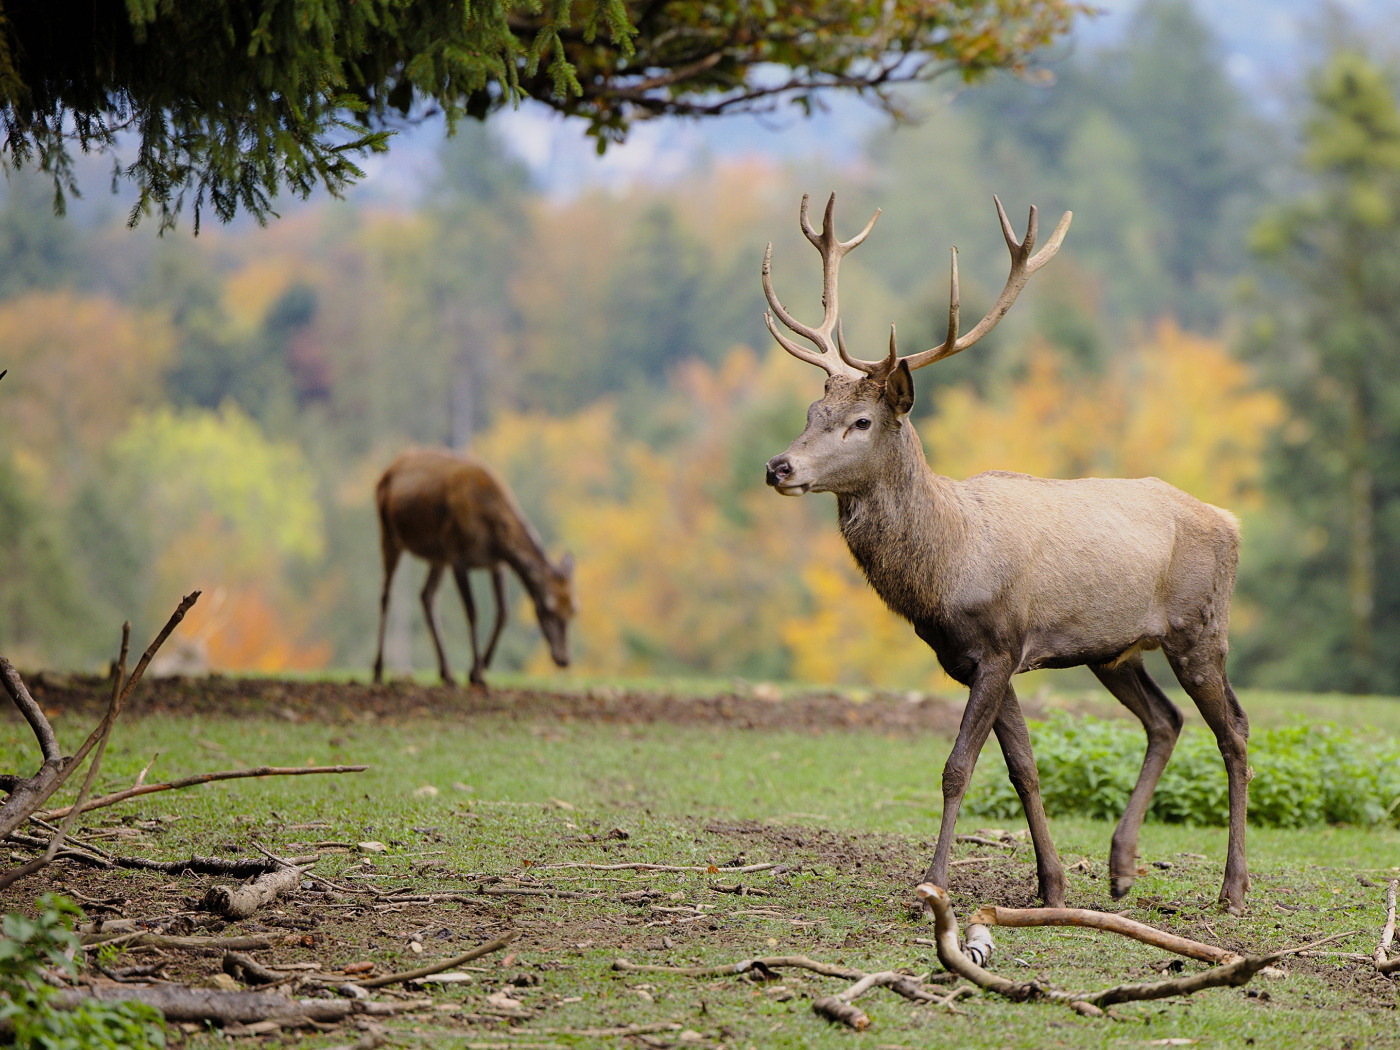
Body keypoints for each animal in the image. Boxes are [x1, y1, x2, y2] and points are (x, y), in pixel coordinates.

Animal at [372, 450, 574, 691]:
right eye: (548, 610)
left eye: (573, 611)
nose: (564, 659)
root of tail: (390, 468)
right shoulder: (459, 556)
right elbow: (472, 611)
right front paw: (476, 672)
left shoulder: (498, 564)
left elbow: (503, 612)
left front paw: (479, 669)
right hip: (389, 533)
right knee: (386, 595)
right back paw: (378, 670)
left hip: (438, 555)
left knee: (426, 595)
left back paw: (447, 673)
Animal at [761, 196, 1254, 912]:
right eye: (810, 411)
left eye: (862, 422)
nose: (779, 466)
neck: (946, 566)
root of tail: (1230, 521)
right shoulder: (979, 659)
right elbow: (1023, 768)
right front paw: (1051, 886)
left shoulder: (999, 645)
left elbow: (957, 767)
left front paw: (933, 884)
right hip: (1113, 649)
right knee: (1165, 721)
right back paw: (1121, 867)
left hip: (1200, 627)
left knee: (1234, 730)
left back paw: (1233, 887)